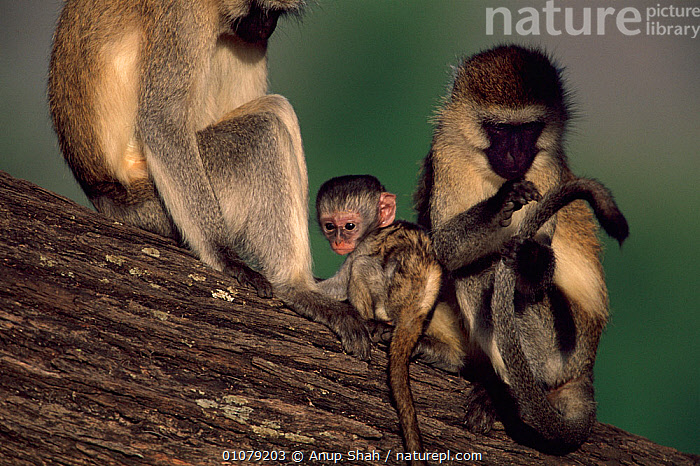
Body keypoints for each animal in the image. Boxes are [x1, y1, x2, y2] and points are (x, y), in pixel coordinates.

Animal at [48, 0, 371, 359]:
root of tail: (104, 195)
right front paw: (224, 256)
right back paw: (295, 286)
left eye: (274, 15)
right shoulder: (182, 16)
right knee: (264, 128)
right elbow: (162, 123)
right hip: (158, 205)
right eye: (265, 11)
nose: (266, 28)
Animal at [315, 175, 452, 461]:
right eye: (330, 226)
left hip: (388, 303)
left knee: (361, 268)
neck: (377, 228)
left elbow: (340, 285)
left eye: (350, 226)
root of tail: (415, 309)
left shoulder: (363, 245)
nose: (339, 241)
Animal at [414, 45, 629, 452]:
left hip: (563, 347)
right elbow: (443, 246)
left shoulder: (545, 168)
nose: (515, 157)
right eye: (500, 129)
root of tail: (586, 368)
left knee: (485, 271)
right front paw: (501, 204)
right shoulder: (446, 150)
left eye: (528, 129)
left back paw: (505, 392)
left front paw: (531, 259)